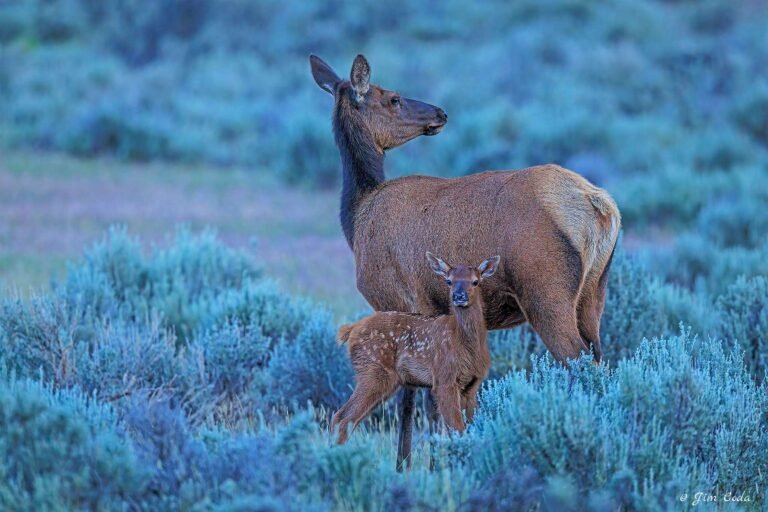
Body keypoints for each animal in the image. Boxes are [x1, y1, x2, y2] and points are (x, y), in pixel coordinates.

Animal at [332, 253, 500, 444]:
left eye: (475, 281)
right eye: (449, 281)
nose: (459, 296)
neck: (465, 344)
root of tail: (352, 329)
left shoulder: (472, 384)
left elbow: (469, 427)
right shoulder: (444, 378)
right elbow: (457, 429)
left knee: (348, 418)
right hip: (373, 371)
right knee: (342, 417)